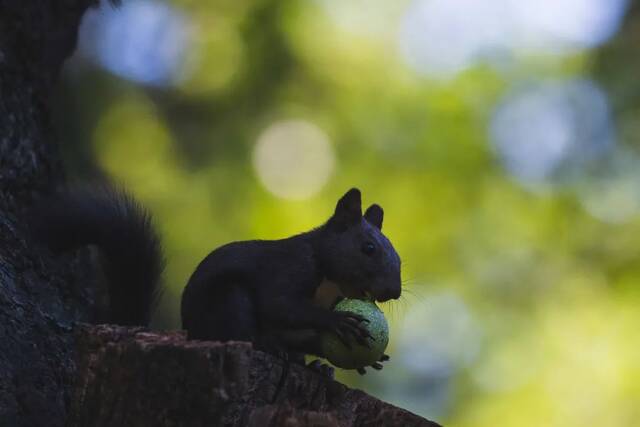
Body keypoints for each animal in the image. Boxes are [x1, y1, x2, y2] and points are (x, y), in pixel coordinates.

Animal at [30, 187, 402, 372]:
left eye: (398, 258)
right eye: (368, 248)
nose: (394, 292)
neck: (330, 281)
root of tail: (193, 331)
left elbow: (306, 334)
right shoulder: (288, 269)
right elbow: (280, 305)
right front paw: (336, 321)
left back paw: (313, 368)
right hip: (228, 301)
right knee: (243, 334)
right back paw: (270, 346)